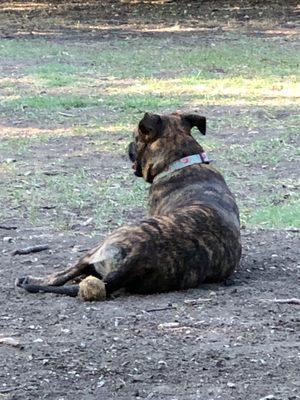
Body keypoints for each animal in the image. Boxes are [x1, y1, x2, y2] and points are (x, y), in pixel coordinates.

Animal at [15, 112, 241, 300]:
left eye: (136, 137)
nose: (128, 145)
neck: (183, 162)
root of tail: (138, 256)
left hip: (98, 248)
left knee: (63, 275)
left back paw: (32, 280)